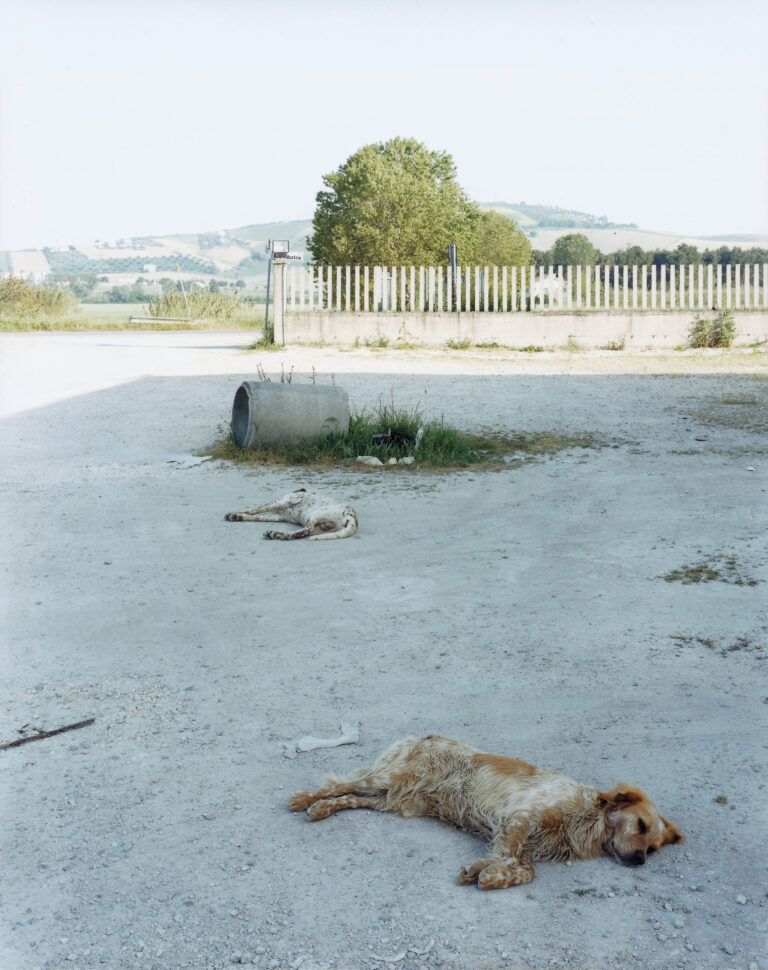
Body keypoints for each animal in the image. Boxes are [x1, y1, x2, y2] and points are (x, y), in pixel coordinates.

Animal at [224, 488, 358, 540]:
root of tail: (352, 517)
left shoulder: (280, 502)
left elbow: (254, 510)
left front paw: (235, 514)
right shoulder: (278, 516)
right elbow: (256, 516)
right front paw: (238, 516)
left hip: (314, 515)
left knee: (307, 530)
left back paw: (281, 534)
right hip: (321, 528)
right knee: (304, 533)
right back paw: (277, 534)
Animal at [290, 732, 684, 884]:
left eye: (653, 848)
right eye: (640, 825)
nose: (640, 861)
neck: (586, 819)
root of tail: (418, 736)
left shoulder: (528, 840)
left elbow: (522, 868)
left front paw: (486, 873)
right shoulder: (521, 816)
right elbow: (511, 858)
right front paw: (486, 871)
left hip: (395, 800)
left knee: (351, 798)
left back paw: (321, 810)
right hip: (389, 778)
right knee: (340, 784)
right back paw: (304, 799)